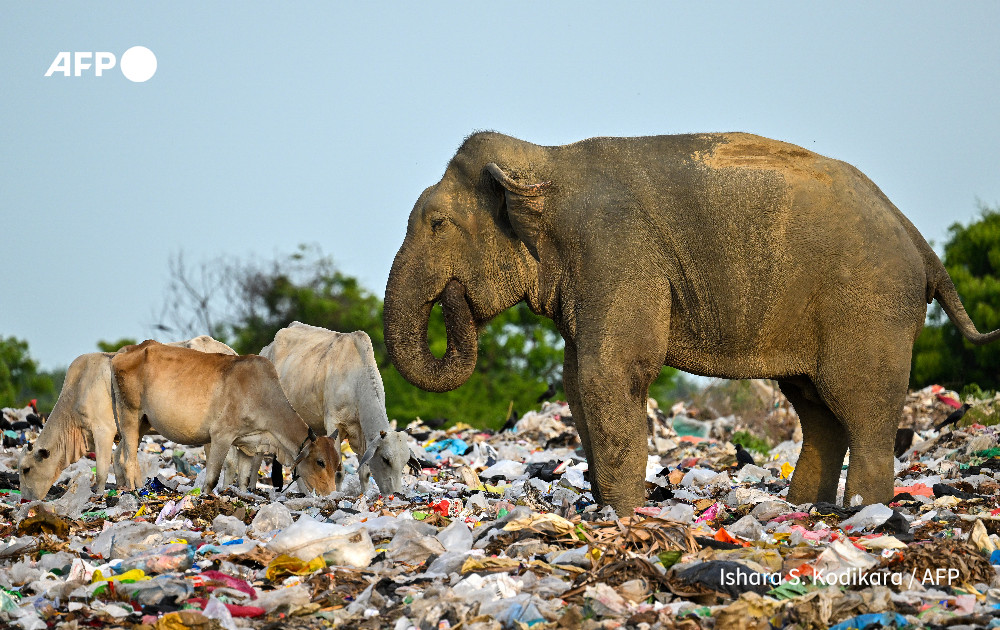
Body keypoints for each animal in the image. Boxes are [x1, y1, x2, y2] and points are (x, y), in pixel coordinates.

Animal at [108, 338, 338, 496]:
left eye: (337, 464)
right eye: (320, 462)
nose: (331, 494)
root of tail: (127, 350)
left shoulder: (247, 445)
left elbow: (243, 480)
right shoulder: (221, 437)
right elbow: (212, 479)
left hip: (142, 422)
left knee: (120, 455)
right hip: (129, 415)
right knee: (128, 459)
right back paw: (135, 491)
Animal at [260, 324, 412, 496]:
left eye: (405, 461)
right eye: (386, 459)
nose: (397, 493)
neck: (355, 381)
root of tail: (267, 349)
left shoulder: (362, 434)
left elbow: (365, 472)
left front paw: (365, 494)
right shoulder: (334, 424)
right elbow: (338, 472)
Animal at [382, 132, 1000, 520]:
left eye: (437, 224)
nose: (454, 298)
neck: (543, 160)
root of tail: (919, 239)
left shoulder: (617, 254)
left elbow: (611, 373)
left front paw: (622, 515)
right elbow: (579, 379)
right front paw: (607, 509)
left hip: (869, 306)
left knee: (860, 403)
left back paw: (862, 513)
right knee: (816, 406)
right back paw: (803, 508)